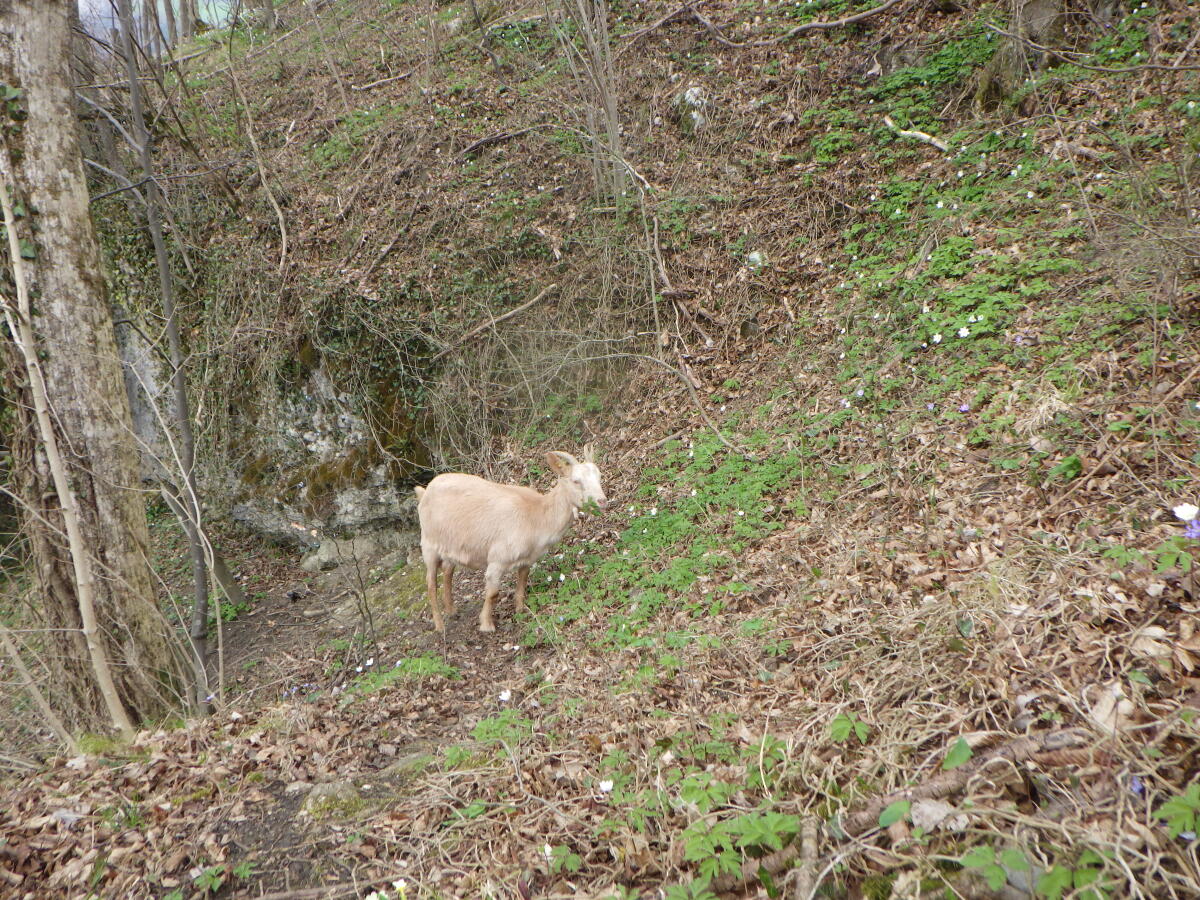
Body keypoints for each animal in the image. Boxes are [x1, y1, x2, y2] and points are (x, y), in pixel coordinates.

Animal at [413, 446, 606, 634]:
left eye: (599, 476)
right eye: (576, 481)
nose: (602, 501)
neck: (537, 516)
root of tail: (425, 491)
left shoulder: (527, 560)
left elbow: (522, 584)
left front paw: (521, 610)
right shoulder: (497, 560)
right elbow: (493, 594)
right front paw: (487, 625)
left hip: (451, 545)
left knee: (447, 571)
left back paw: (452, 611)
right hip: (428, 544)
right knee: (431, 583)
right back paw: (440, 626)